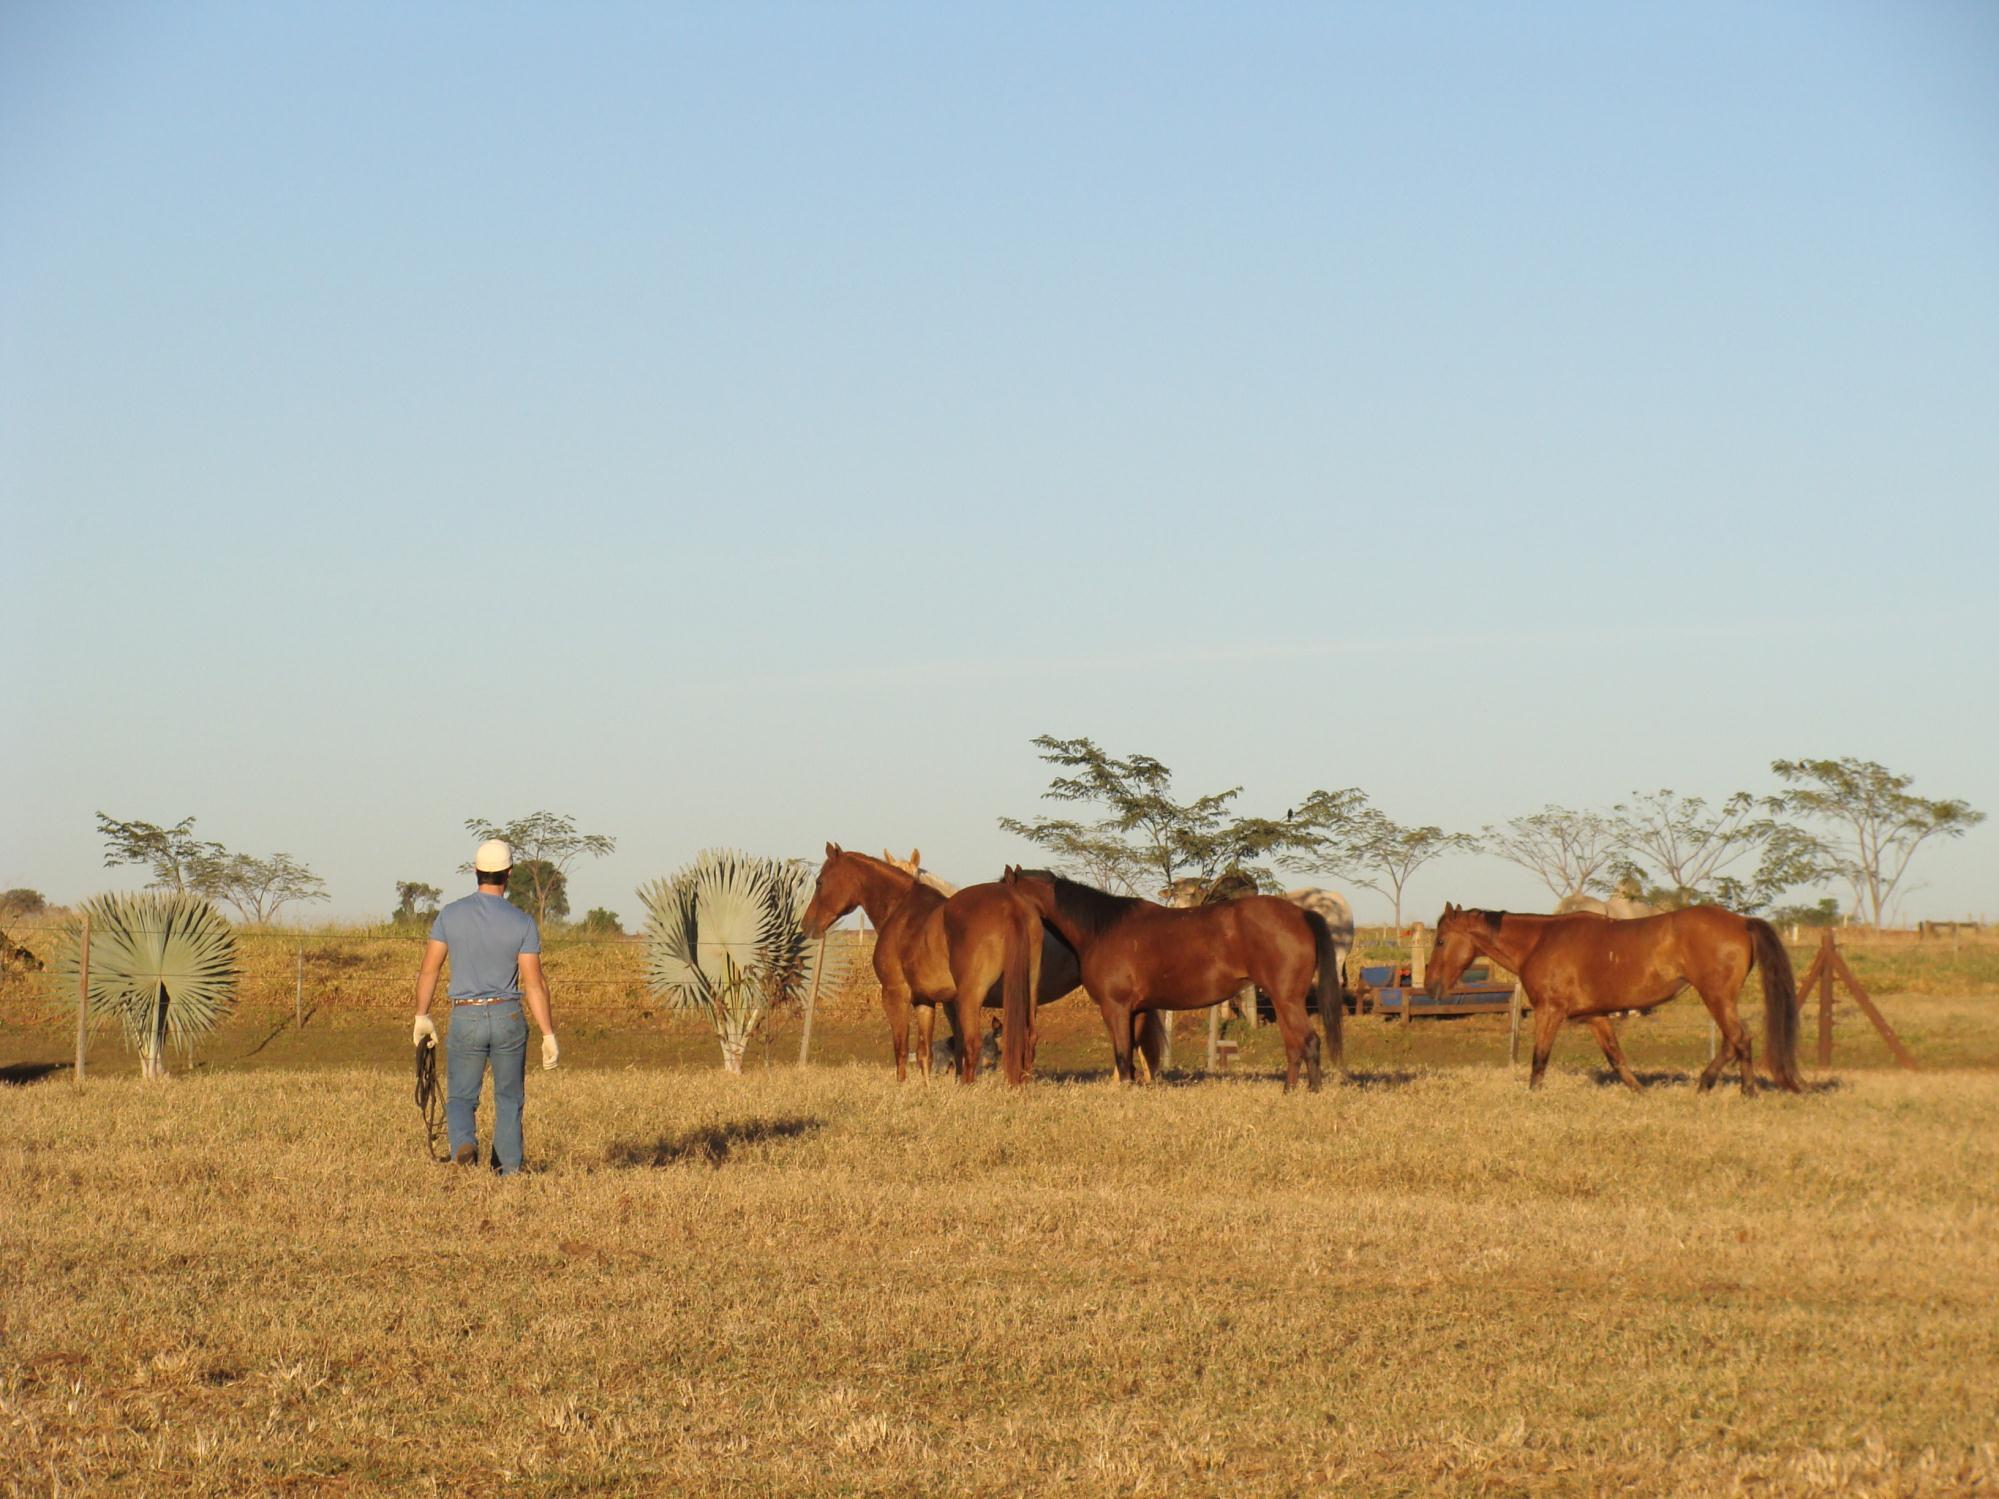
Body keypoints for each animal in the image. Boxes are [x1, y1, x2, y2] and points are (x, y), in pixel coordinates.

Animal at [803, 851, 1071, 1087]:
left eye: (820, 881)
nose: (807, 925)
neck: (900, 910)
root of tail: (1011, 906)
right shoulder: (926, 1000)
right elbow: (926, 1052)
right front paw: (928, 1088)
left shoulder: (895, 994)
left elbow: (902, 1046)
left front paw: (901, 1087)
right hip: (1029, 991)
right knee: (1028, 1037)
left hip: (971, 997)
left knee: (973, 1042)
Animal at [999, 867, 1343, 1095]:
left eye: (1001, 892)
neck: (1101, 929)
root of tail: (1301, 915)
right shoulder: (1136, 1010)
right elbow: (1132, 1052)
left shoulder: (1115, 1008)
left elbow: (1122, 1053)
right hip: (1284, 1001)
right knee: (1294, 1045)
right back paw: (1290, 1090)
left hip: (1286, 999)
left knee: (1308, 1041)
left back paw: (1311, 1091)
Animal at [1431, 899, 1807, 1095]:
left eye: (1440, 940)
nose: (1432, 986)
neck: (1540, 942)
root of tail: (1742, 921)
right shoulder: (1596, 1017)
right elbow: (1616, 1058)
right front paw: (1640, 1091)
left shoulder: (1550, 1011)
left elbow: (1539, 1059)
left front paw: (1533, 1096)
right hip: (1719, 999)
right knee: (1733, 1041)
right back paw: (1705, 1084)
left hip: (1716, 996)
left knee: (1740, 1038)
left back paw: (1746, 1091)